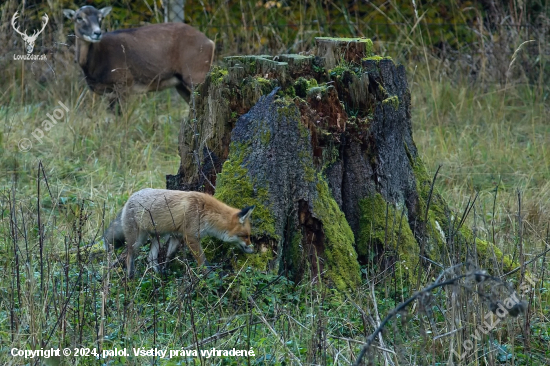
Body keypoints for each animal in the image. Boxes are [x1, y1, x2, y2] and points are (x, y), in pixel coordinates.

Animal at [122, 189, 256, 278]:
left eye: (249, 236)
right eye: (245, 236)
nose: (253, 249)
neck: (205, 212)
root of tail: (131, 197)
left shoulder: (177, 236)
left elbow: (169, 256)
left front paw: (166, 272)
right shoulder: (191, 237)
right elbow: (203, 261)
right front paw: (210, 277)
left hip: (161, 237)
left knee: (150, 258)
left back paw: (158, 275)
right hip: (137, 240)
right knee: (128, 256)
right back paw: (130, 278)